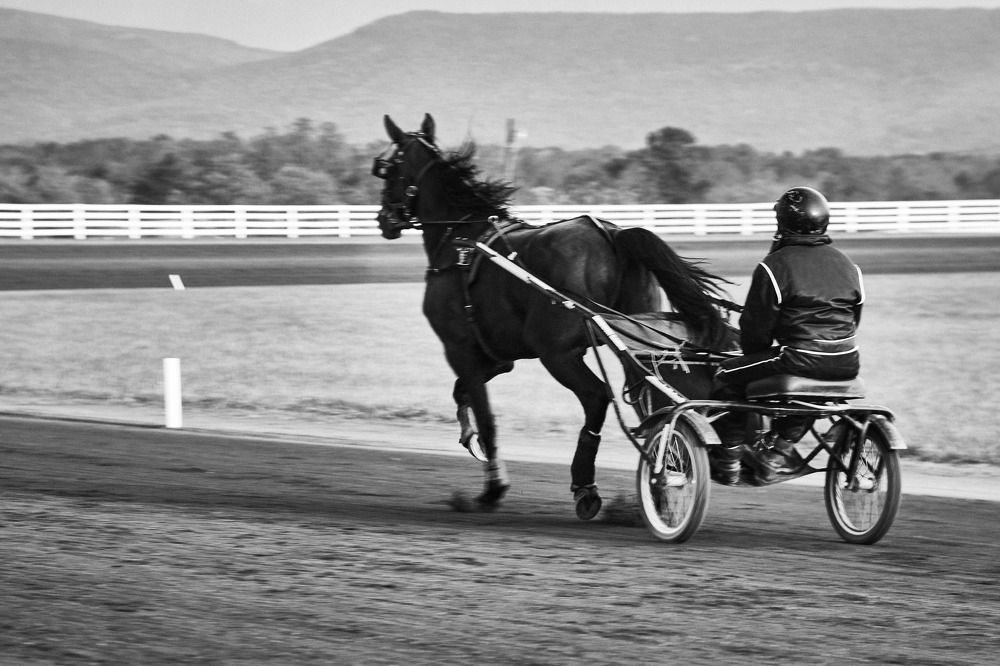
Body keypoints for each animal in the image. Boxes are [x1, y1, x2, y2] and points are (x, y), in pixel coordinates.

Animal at [373, 113, 734, 517]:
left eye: (386, 168)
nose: (383, 219)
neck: (461, 240)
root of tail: (611, 234)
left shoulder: (460, 347)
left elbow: (484, 412)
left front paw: (493, 487)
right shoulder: (500, 356)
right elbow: (462, 392)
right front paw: (470, 437)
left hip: (558, 354)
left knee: (597, 398)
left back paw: (588, 486)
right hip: (635, 341)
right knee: (649, 400)